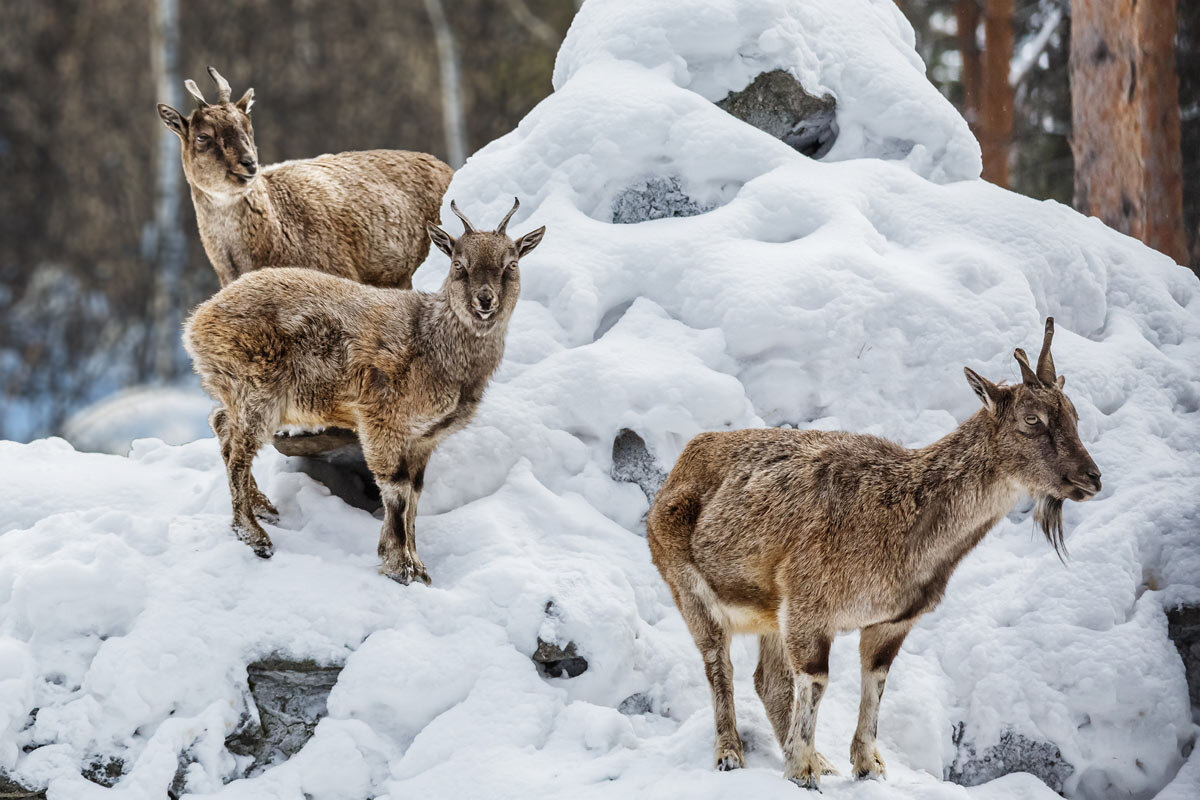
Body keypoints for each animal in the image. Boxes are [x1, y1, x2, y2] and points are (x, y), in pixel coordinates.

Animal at [181, 196, 544, 585]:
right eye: (459, 264)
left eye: (510, 265)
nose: (485, 301)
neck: (432, 343)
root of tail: (196, 323)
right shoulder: (381, 418)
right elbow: (396, 490)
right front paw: (400, 568)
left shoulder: (423, 439)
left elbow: (414, 494)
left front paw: (416, 565)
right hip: (256, 390)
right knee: (237, 452)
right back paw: (254, 535)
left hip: (242, 392)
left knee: (221, 424)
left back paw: (264, 508)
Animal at [652, 321, 1099, 796]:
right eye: (1031, 419)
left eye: (1074, 415)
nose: (1091, 477)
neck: (902, 520)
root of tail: (679, 466)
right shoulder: (809, 606)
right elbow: (816, 680)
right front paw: (802, 772)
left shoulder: (890, 621)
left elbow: (875, 679)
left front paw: (865, 767)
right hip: (689, 588)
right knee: (718, 663)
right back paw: (730, 754)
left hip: (768, 612)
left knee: (767, 680)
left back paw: (821, 760)